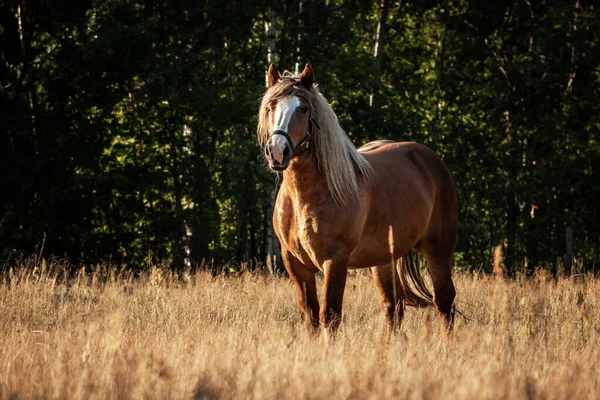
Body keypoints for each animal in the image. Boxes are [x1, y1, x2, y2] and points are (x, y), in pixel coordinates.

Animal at [258, 64, 460, 334]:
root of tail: (430, 160)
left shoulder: (335, 260)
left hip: (438, 249)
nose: (278, 151)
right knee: (393, 307)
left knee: (444, 301)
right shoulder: (295, 263)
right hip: (383, 259)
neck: (307, 197)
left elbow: (329, 315)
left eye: (303, 109)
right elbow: (310, 315)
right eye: (270, 107)